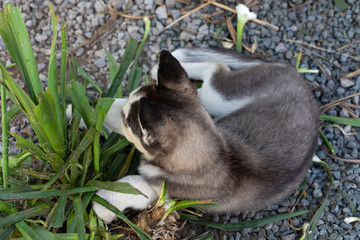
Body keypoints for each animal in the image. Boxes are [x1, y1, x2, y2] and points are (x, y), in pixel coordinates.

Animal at [93, 48, 318, 223]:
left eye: (127, 121)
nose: (98, 106)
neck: (217, 156)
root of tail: (293, 72)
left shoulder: (165, 193)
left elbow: (132, 185)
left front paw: (104, 203)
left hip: (217, 98)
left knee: (217, 67)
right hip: (215, 101)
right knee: (215, 68)